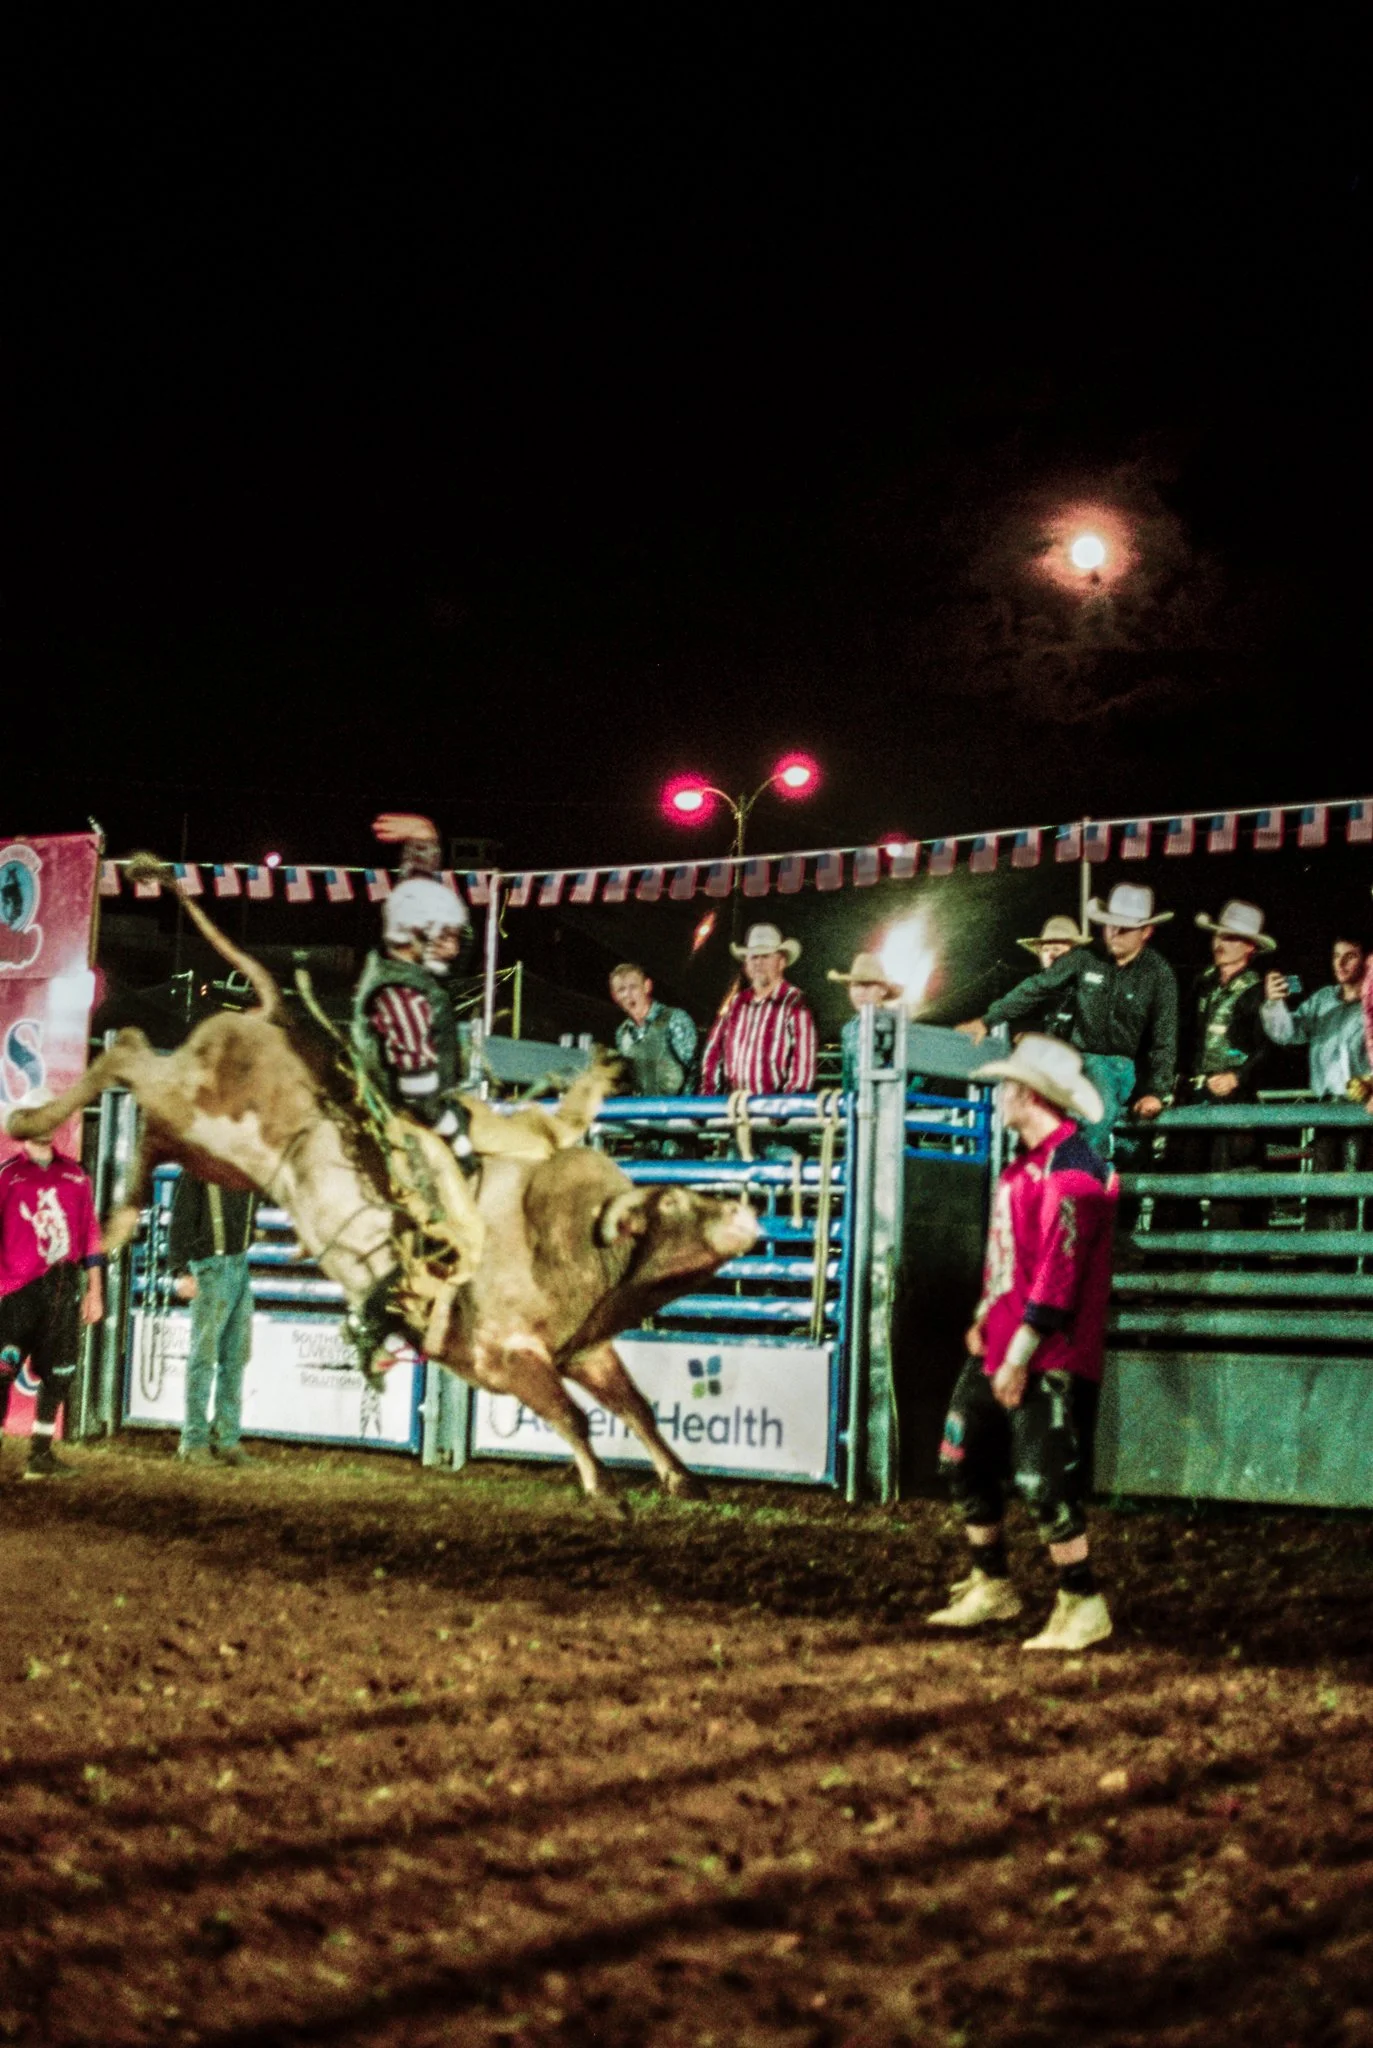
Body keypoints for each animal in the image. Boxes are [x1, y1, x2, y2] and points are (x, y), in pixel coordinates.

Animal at [3, 859, 758, 1501]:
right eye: (675, 1201)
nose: (745, 1212)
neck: (566, 1243)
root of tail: (269, 1014)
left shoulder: (589, 1349)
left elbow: (636, 1407)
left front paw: (683, 1479)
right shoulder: (502, 1355)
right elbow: (569, 1414)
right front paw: (604, 1487)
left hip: (205, 1147)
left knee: (148, 1124)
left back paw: (116, 1218)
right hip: (193, 1104)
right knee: (127, 1054)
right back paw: (34, 1120)